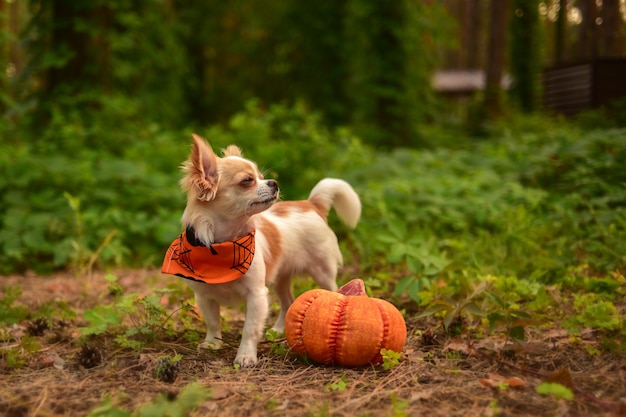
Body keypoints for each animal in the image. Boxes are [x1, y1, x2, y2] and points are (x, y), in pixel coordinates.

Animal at [162, 135, 360, 366]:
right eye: (248, 180)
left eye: (262, 177)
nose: (274, 182)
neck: (223, 245)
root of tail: (311, 204)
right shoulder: (204, 296)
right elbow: (212, 322)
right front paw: (212, 343)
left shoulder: (256, 295)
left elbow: (249, 329)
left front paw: (245, 355)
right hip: (280, 278)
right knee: (288, 301)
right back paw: (278, 330)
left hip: (322, 273)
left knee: (330, 290)